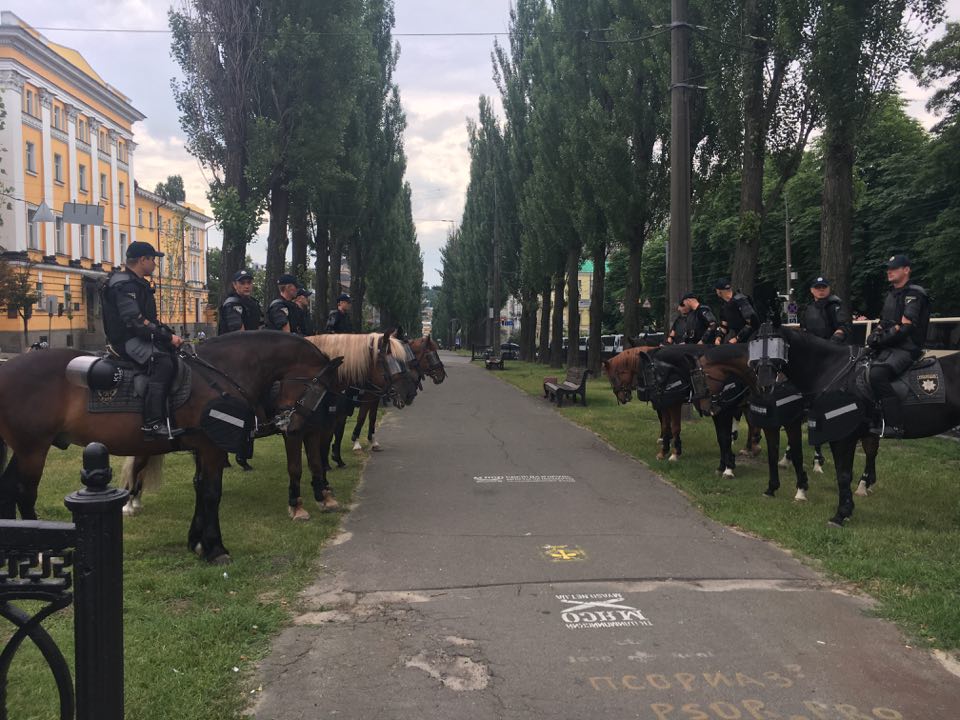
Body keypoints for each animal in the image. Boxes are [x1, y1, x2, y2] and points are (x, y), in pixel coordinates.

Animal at [0, 331, 341, 562]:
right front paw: (215, 548)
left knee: (8, 486)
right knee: (24, 492)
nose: (293, 426)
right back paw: (38, 552)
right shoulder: (212, 448)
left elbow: (200, 488)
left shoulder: (203, 448)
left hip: (26, 450)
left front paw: (198, 542)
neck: (221, 374)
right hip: (33, 449)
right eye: (321, 388)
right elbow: (211, 493)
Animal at [750, 325, 960, 526]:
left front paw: (839, 514)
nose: (764, 385)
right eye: (754, 344)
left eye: (777, 345)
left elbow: (842, 474)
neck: (832, 370)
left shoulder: (841, 435)